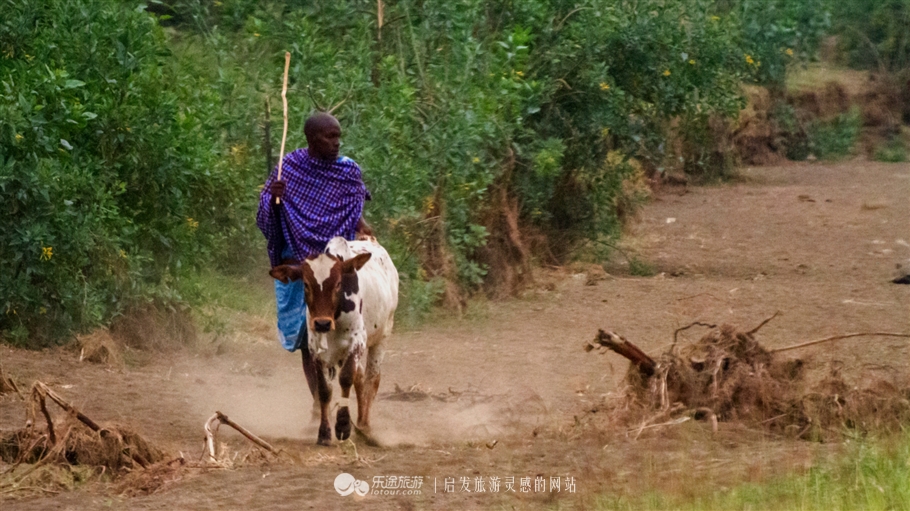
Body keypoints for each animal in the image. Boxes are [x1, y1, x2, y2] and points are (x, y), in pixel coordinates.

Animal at [270, 238, 400, 446]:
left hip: (382, 337)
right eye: (306, 284)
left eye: (338, 283)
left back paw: (364, 426)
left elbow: (346, 378)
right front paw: (324, 432)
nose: (322, 323)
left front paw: (343, 426)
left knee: (371, 379)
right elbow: (324, 389)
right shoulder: (315, 348)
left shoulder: (357, 342)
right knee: (360, 377)